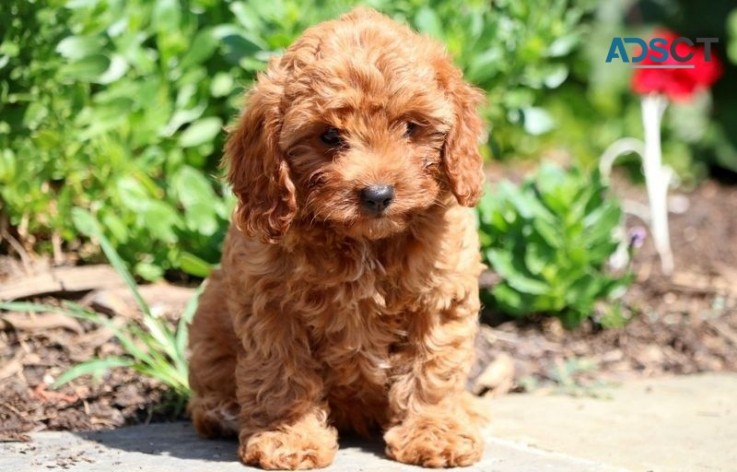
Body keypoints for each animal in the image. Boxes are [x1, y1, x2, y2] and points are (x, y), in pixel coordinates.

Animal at [190, 6, 486, 468]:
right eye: (329, 136)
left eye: (411, 127)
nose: (378, 194)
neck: (364, 242)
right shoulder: (271, 304)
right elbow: (281, 374)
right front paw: (288, 438)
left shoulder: (439, 296)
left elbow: (433, 368)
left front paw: (434, 432)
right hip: (208, 322)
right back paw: (223, 412)